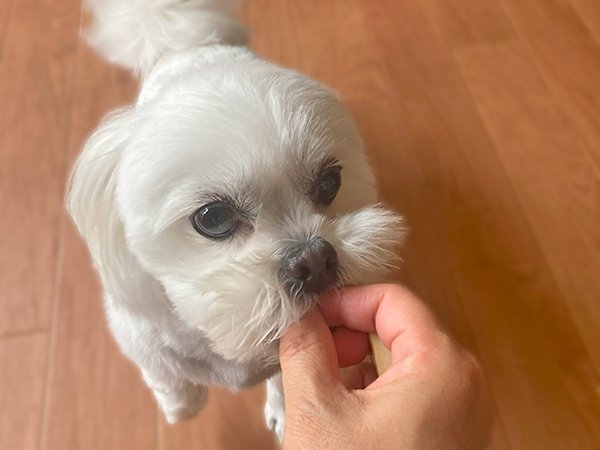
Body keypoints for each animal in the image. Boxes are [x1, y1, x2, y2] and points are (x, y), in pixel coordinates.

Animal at [67, 0, 404, 442]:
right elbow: (168, 377)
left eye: (331, 182)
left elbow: (283, 382)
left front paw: (282, 413)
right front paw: (180, 406)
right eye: (213, 218)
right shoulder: (141, 340)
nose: (313, 260)